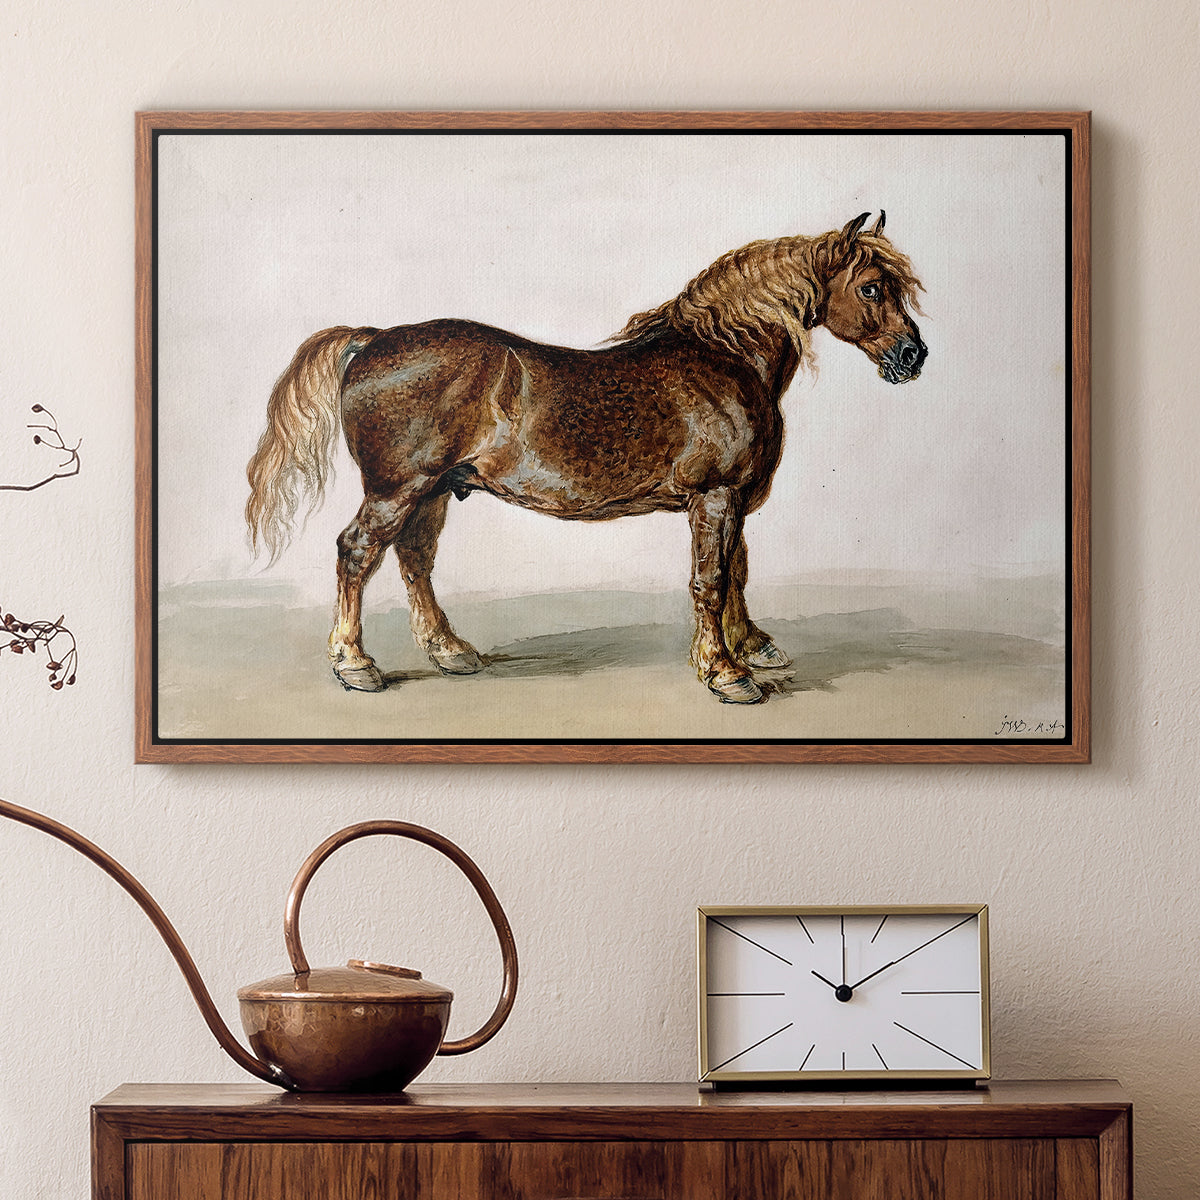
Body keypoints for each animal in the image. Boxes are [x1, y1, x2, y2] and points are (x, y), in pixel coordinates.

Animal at [245, 211, 926, 705]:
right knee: (358, 553)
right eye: (871, 287)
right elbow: (710, 581)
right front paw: (727, 674)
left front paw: (751, 647)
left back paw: (450, 651)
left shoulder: (732, 500)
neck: (723, 360)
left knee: (414, 559)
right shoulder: (715, 496)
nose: (912, 356)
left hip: (434, 489)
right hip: (397, 488)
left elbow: (736, 574)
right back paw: (355, 665)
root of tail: (373, 340)